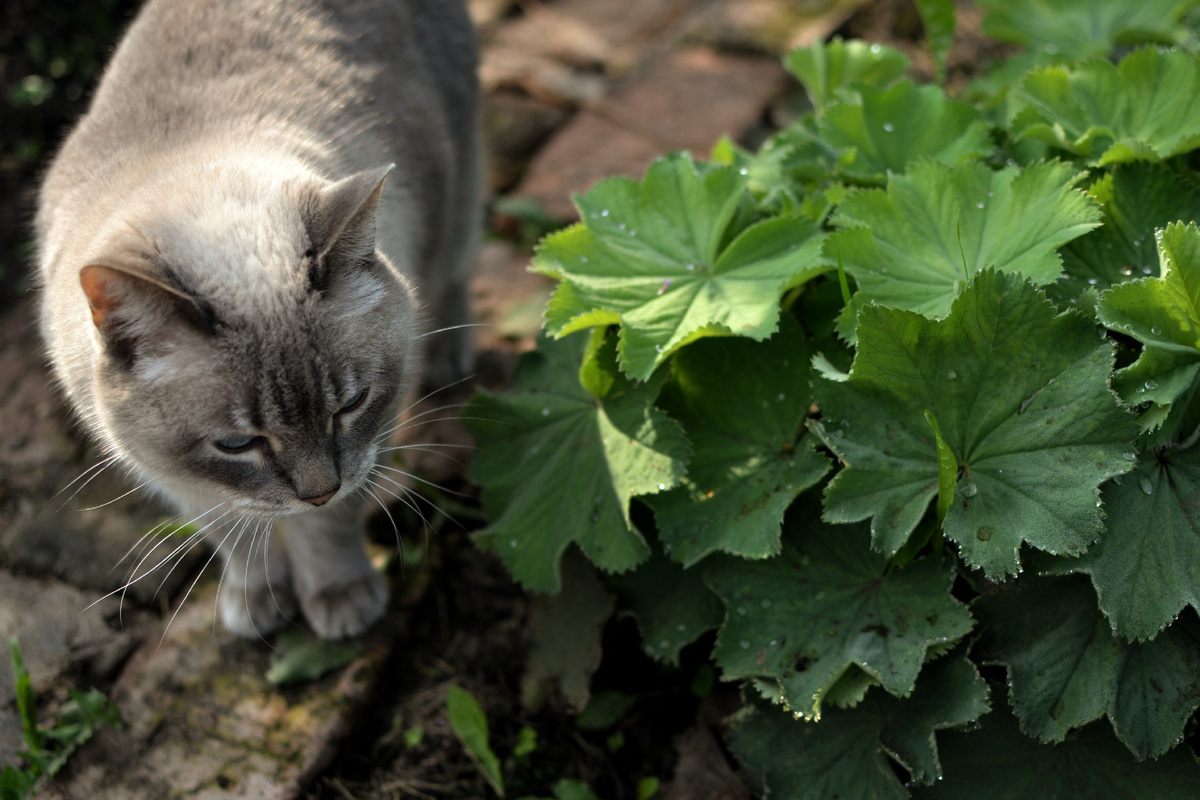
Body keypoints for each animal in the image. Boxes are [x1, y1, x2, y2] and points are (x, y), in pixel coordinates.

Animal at [35, 0, 482, 638]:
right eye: (236, 444)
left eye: (350, 405)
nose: (319, 490)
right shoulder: (184, 480)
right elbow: (237, 539)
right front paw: (256, 605)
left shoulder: (368, 442)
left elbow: (328, 530)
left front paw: (340, 598)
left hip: (459, 187)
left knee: (455, 271)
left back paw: (450, 363)